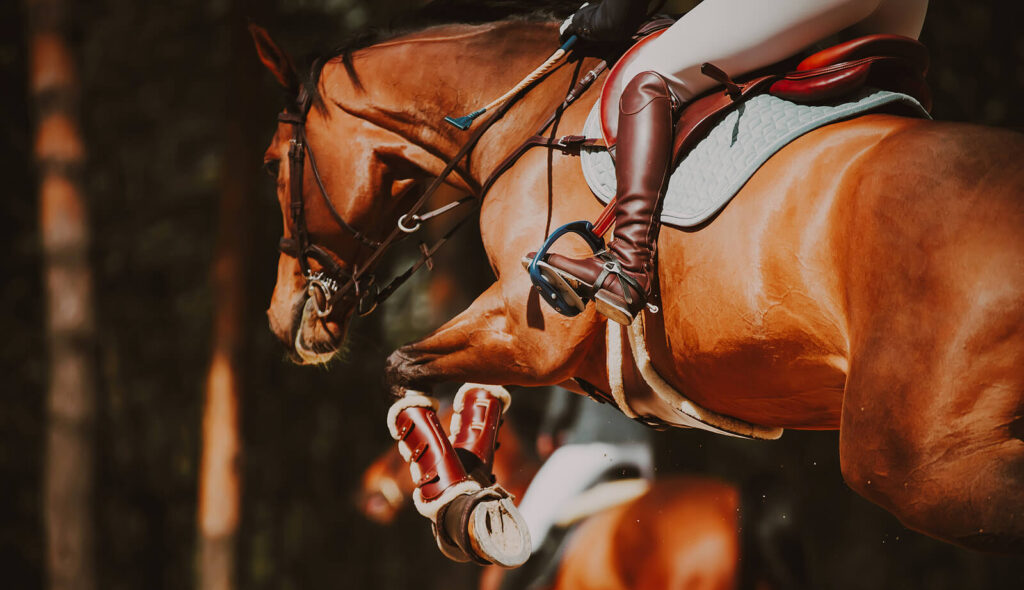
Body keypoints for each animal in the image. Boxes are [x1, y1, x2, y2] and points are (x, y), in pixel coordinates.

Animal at [251, 17, 1019, 553]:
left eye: (270, 163)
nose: (284, 318)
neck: (522, 123)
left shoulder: (533, 333)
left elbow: (403, 365)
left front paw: (464, 505)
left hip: (914, 463)